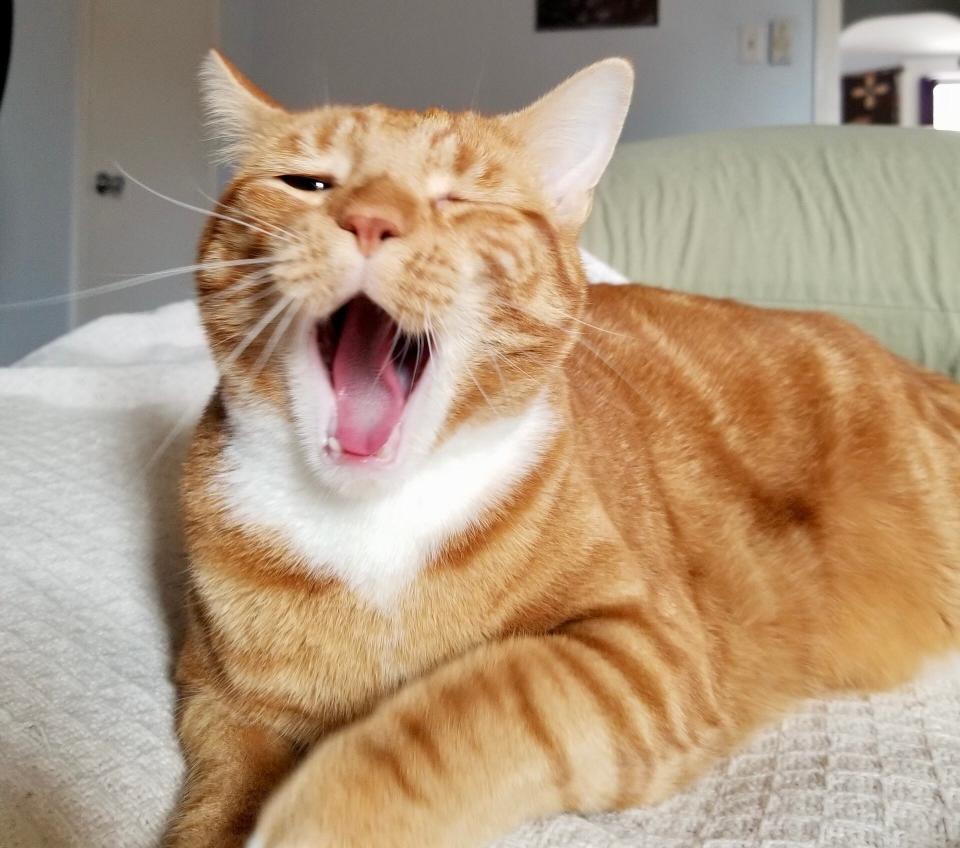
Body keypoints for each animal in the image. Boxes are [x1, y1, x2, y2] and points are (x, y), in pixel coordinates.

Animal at [169, 51, 960, 848]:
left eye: (458, 199)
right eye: (308, 183)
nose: (369, 220)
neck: (375, 525)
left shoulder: (647, 655)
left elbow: (469, 706)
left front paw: (324, 813)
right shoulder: (218, 697)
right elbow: (219, 798)